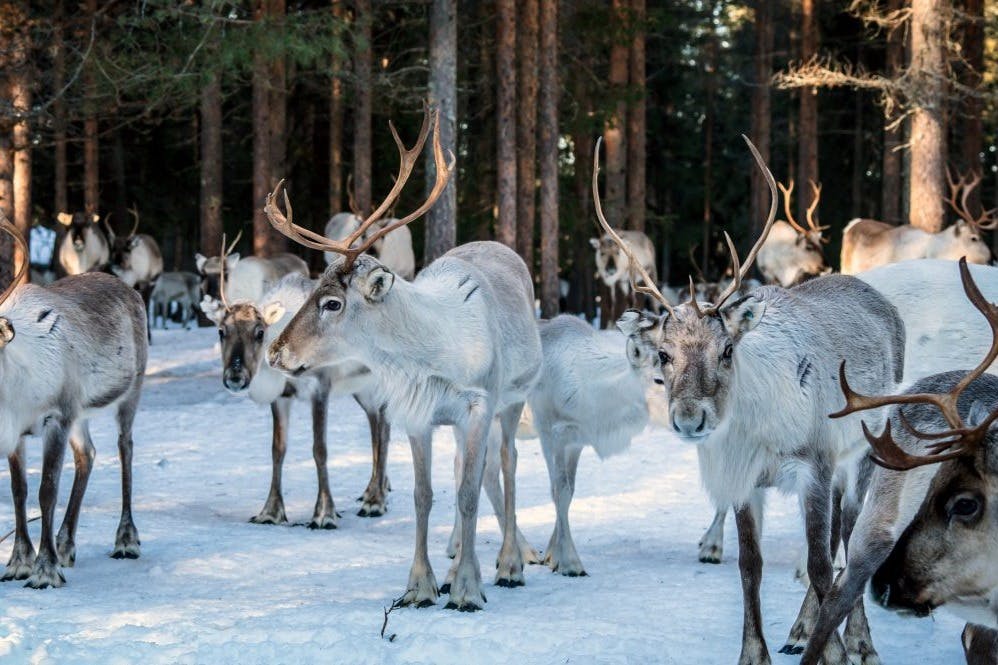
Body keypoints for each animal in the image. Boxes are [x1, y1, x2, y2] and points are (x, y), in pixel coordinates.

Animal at [0, 215, 147, 589]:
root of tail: (130, 289)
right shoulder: (16, 432)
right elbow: (19, 490)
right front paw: (19, 562)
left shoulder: (57, 417)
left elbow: (47, 490)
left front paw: (45, 570)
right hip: (81, 412)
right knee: (88, 454)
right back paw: (66, 545)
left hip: (131, 389)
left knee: (125, 447)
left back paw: (126, 540)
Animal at [206, 262, 392, 525]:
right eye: (221, 331)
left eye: (260, 332)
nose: (235, 377)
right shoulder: (281, 397)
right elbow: (277, 450)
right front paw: (270, 512)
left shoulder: (320, 388)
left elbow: (320, 449)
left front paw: (325, 514)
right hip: (362, 390)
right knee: (375, 425)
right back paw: (374, 490)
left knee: (384, 430)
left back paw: (375, 501)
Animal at [263, 106, 542, 611]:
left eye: (332, 302)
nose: (275, 352)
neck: (433, 354)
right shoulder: (418, 415)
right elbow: (423, 495)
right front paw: (422, 586)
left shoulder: (479, 405)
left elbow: (468, 494)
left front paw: (468, 590)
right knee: (469, 470)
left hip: (512, 400)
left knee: (508, 464)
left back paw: (509, 564)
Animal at [606, 135, 906, 665]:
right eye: (663, 354)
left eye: (727, 349)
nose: (690, 419)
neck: (757, 430)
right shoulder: (745, 478)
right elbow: (750, 565)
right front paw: (756, 651)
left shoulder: (814, 464)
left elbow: (820, 565)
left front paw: (837, 651)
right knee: (835, 538)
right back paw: (802, 627)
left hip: (863, 452)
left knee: (849, 537)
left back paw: (860, 640)